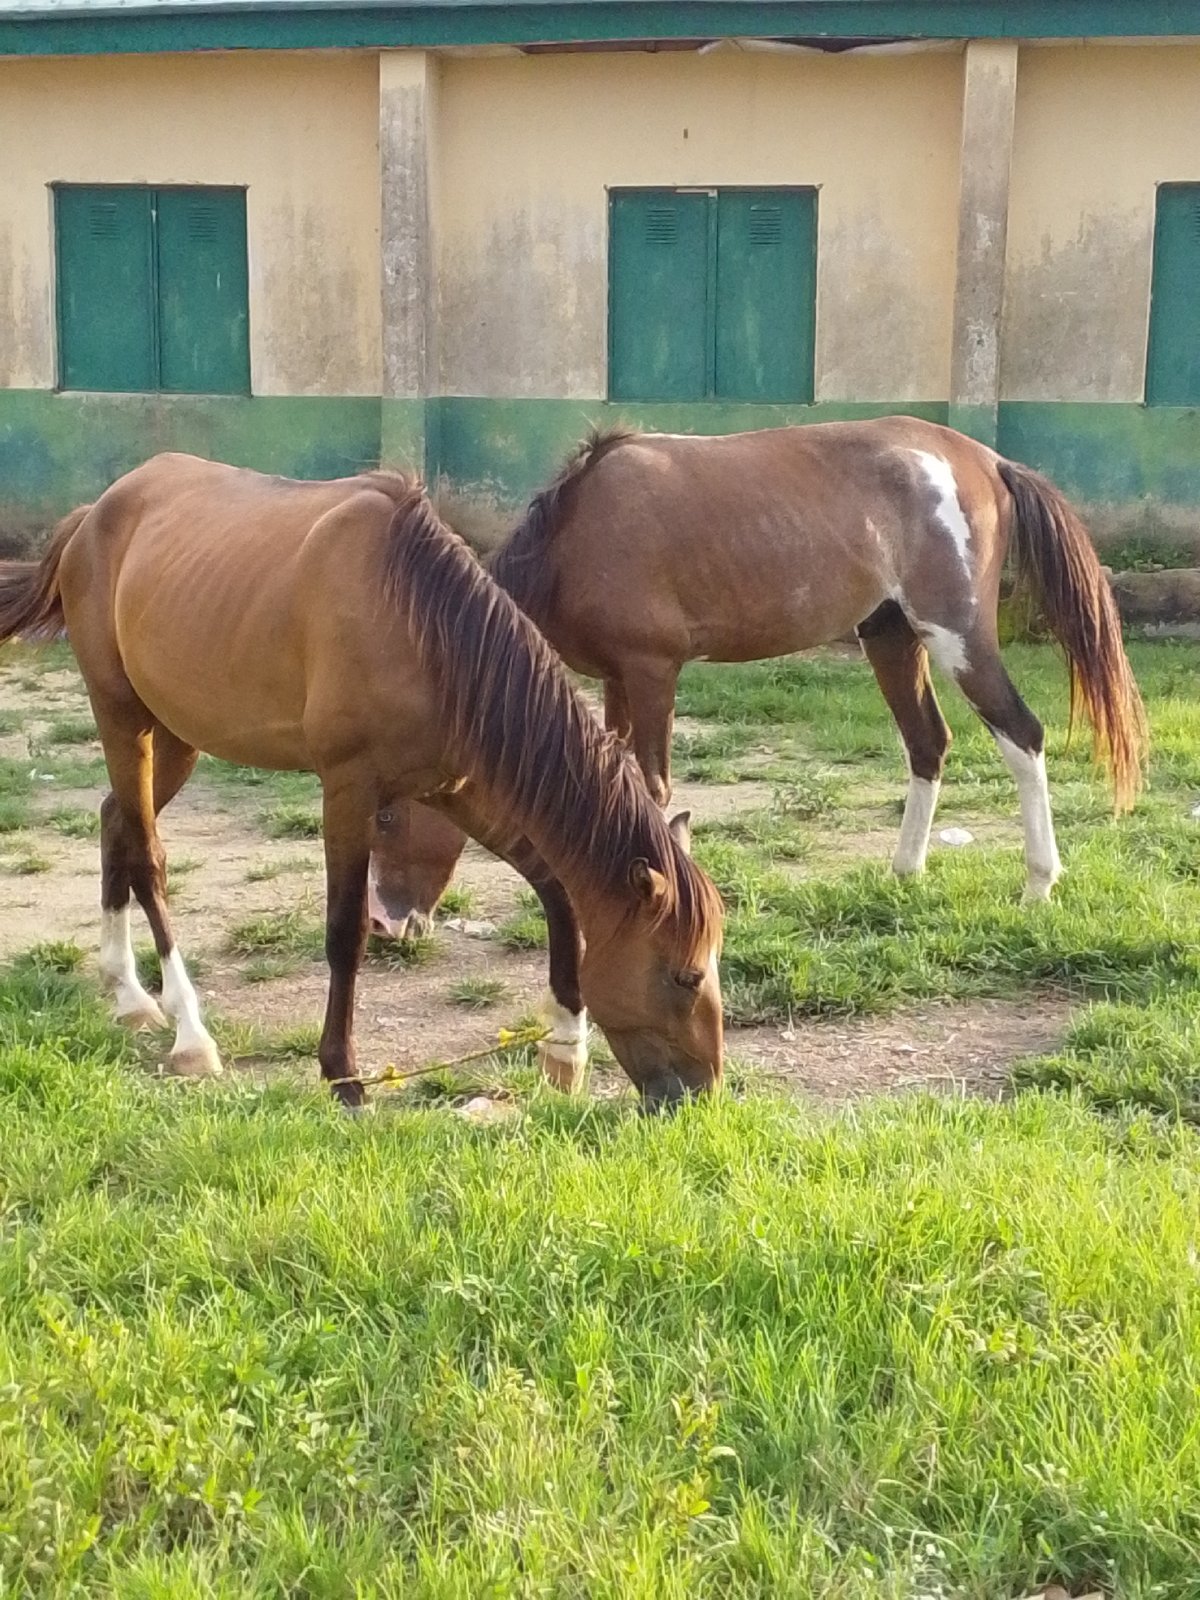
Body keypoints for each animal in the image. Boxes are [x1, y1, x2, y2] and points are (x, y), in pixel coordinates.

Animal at [0, 456, 724, 1110]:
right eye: (685, 976)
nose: (700, 1093)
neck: (422, 626)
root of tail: (93, 515)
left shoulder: (456, 788)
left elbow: (554, 888)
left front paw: (565, 1046)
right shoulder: (348, 790)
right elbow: (346, 932)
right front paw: (343, 1075)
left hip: (177, 735)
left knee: (115, 823)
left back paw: (127, 995)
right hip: (121, 717)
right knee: (148, 858)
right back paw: (189, 1033)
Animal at [384, 416, 1146, 922]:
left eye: (390, 816)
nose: (388, 922)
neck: (576, 534)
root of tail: (985, 459)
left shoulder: (652, 670)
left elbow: (652, 785)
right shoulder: (616, 680)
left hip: (957, 638)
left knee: (1022, 736)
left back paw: (1039, 883)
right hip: (890, 637)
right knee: (928, 744)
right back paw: (905, 872)